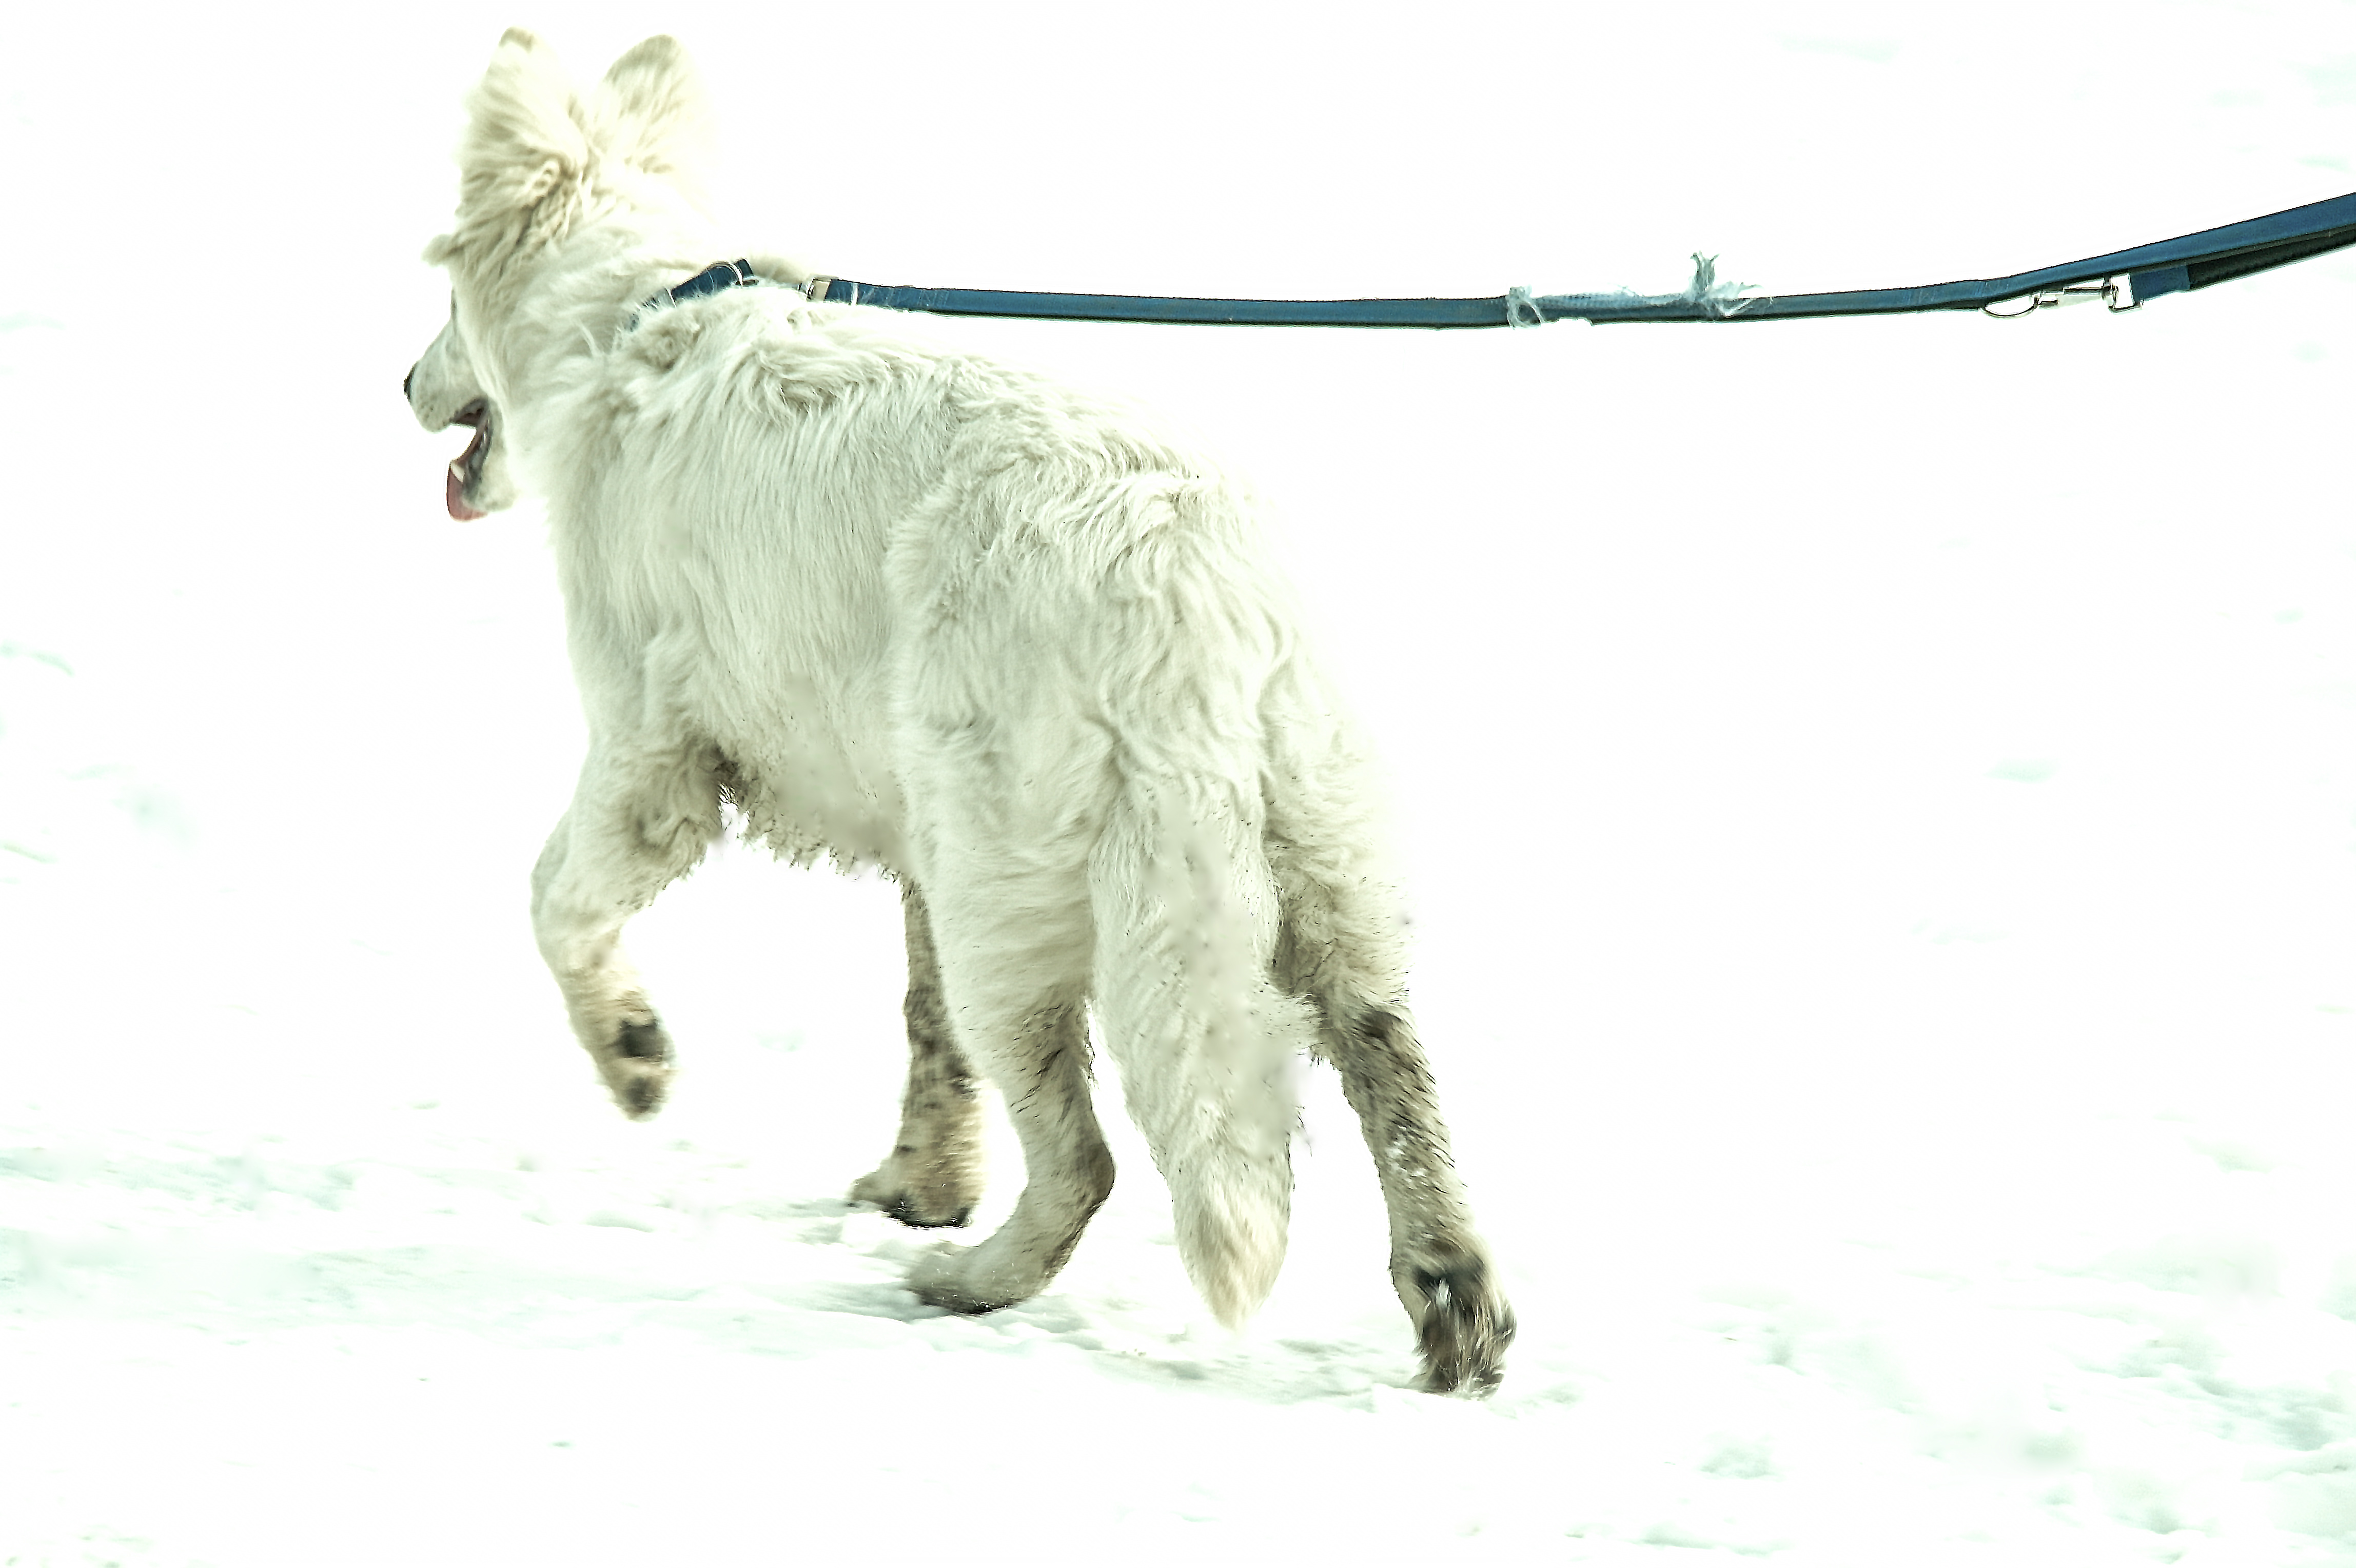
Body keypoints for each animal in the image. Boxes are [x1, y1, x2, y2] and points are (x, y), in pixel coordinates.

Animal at [403, 27, 1507, 1394]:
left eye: (441, 311)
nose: (400, 381)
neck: (633, 321)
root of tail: (1175, 566)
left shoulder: (650, 760)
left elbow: (555, 901)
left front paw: (633, 1052)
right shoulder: (910, 823)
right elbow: (922, 1023)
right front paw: (925, 1178)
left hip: (1030, 889)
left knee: (1087, 1154)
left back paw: (970, 1282)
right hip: (1295, 845)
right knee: (1383, 1054)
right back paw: (1452, 1295)